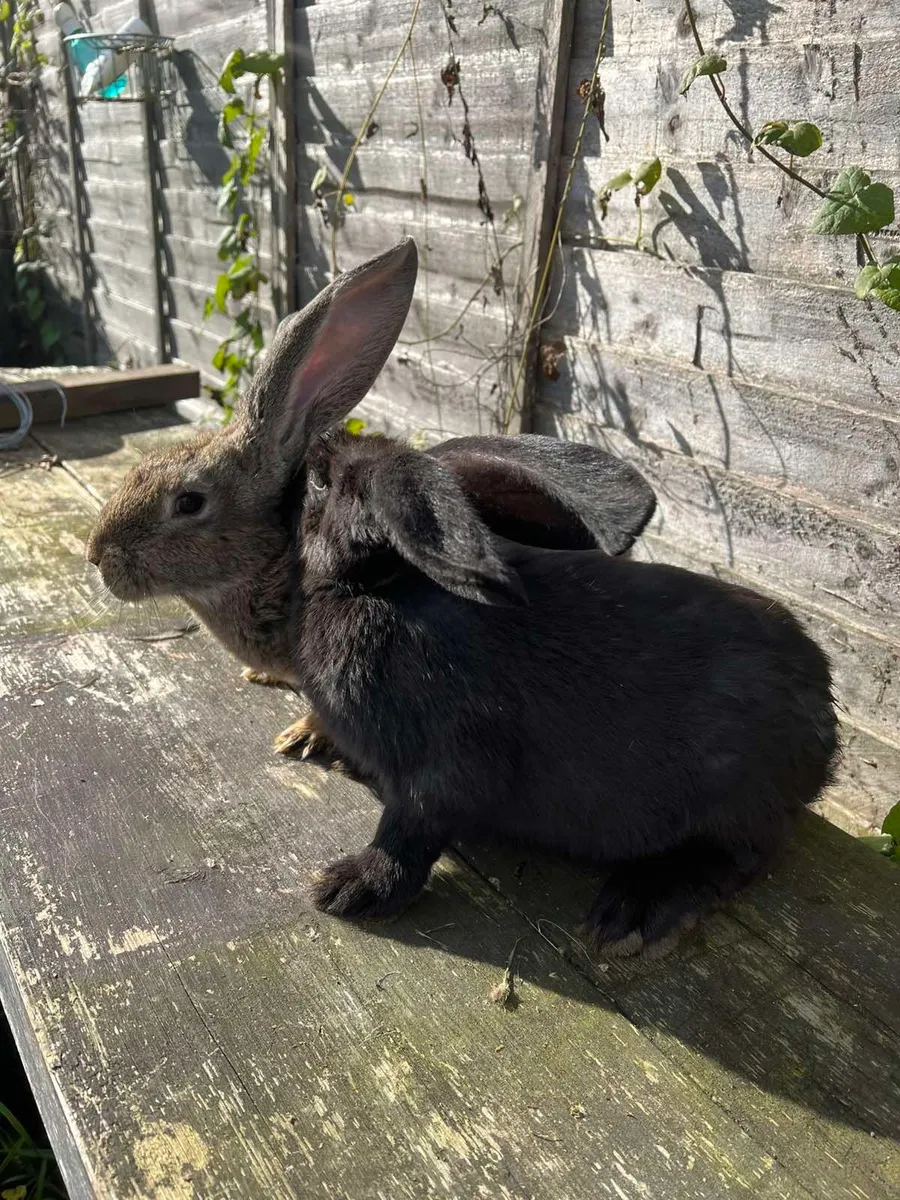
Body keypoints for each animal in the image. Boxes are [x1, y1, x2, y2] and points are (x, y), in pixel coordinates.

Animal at [86, 237, 838, 956]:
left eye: (188, 502)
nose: (98, 556)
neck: (301, 581)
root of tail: (823, 719)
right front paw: (305, 737)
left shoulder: (448, 760)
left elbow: (413, 826)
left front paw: (348, 884)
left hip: (733, 805)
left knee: (740, 855)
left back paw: (635, 912)